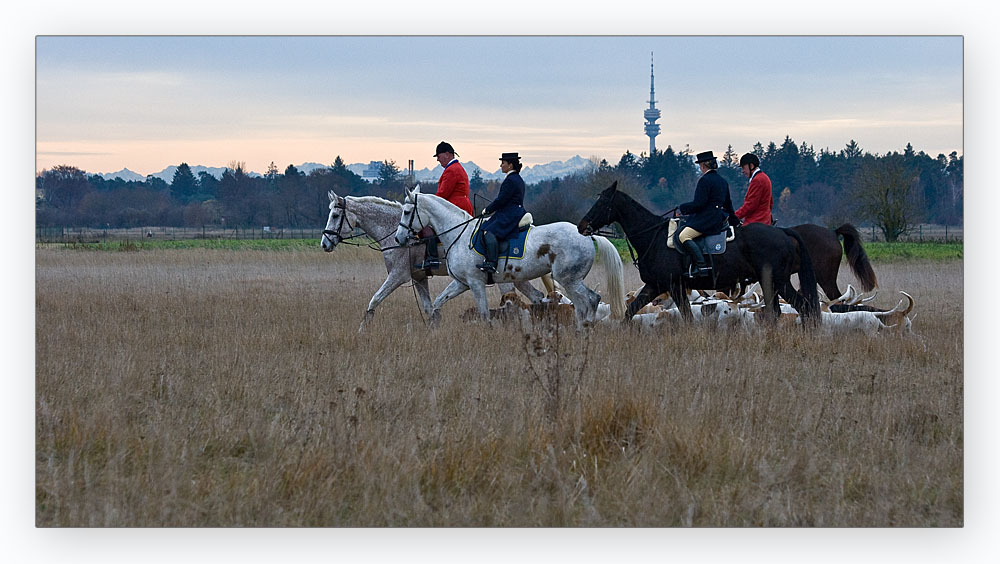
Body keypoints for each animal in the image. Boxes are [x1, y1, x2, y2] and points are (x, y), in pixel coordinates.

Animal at [392, 185, 620, 328]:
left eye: (406, 212)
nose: (398, 238)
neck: (459, 234)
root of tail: (586, 234)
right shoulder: (461, 283)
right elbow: (438, 302)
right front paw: (433, 325)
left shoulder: (475, 283)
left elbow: (484, 313)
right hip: (569, 281)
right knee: (580, 304)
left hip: (569, 279)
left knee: (591, 299)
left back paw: (586, 329)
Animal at [580, 181, 820, 322]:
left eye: (601, 202)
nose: (582, 226)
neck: (654, 237)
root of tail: (783, 232)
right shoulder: (655, 285)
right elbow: (630, 312)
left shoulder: (675, 286)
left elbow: (687, 317)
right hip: (774, 282)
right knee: (785, 310)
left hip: (777, 281)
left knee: (802, 308)